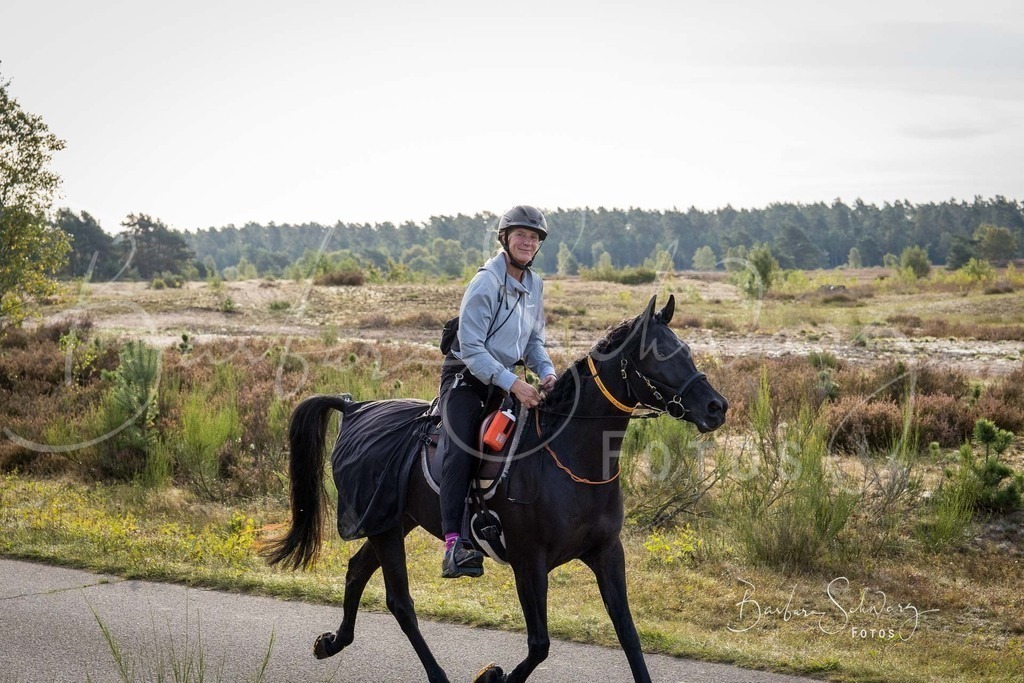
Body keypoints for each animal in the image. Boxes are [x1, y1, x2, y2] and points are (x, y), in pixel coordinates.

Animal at [262, 295, 728, 682]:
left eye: (686, 349)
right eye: (660, 355)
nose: (716, 406)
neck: (570, 457)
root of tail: (353, 407)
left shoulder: (607, 553)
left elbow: (629, 636)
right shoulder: (529, 562)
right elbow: (539, 645)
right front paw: (492, 676)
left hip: (395, 519)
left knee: (358, 569)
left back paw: (332, 642)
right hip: (384, 527)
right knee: (400, 601)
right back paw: (436, 675)